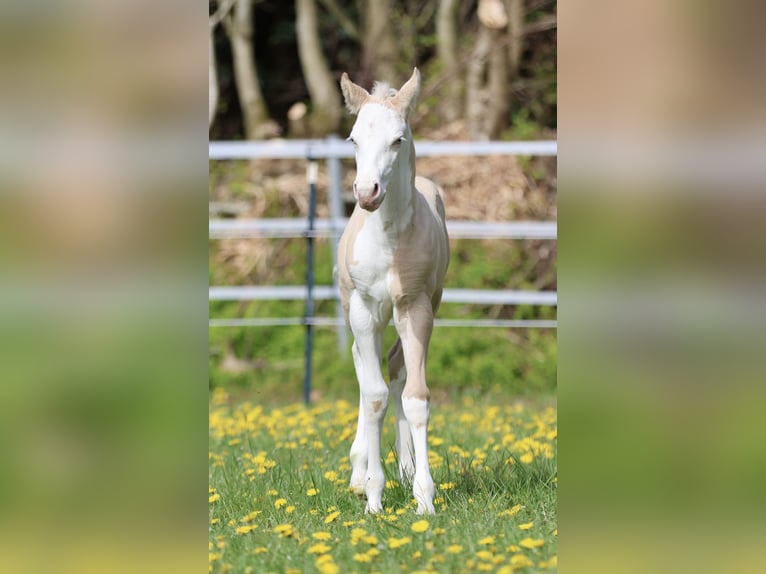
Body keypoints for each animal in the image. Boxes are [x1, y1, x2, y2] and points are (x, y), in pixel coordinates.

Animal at [337, 68, 450, 514]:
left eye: (398, 139)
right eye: (353, 138)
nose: (367, 192)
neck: (387, 242)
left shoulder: (416, 307)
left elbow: (414, 398)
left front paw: (423, 497)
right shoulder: (364, 309)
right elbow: (374, 397)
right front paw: (372, 495)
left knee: (397, 369)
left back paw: (404, 469)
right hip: (355, 311)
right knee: (362, 364)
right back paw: (357, 471)